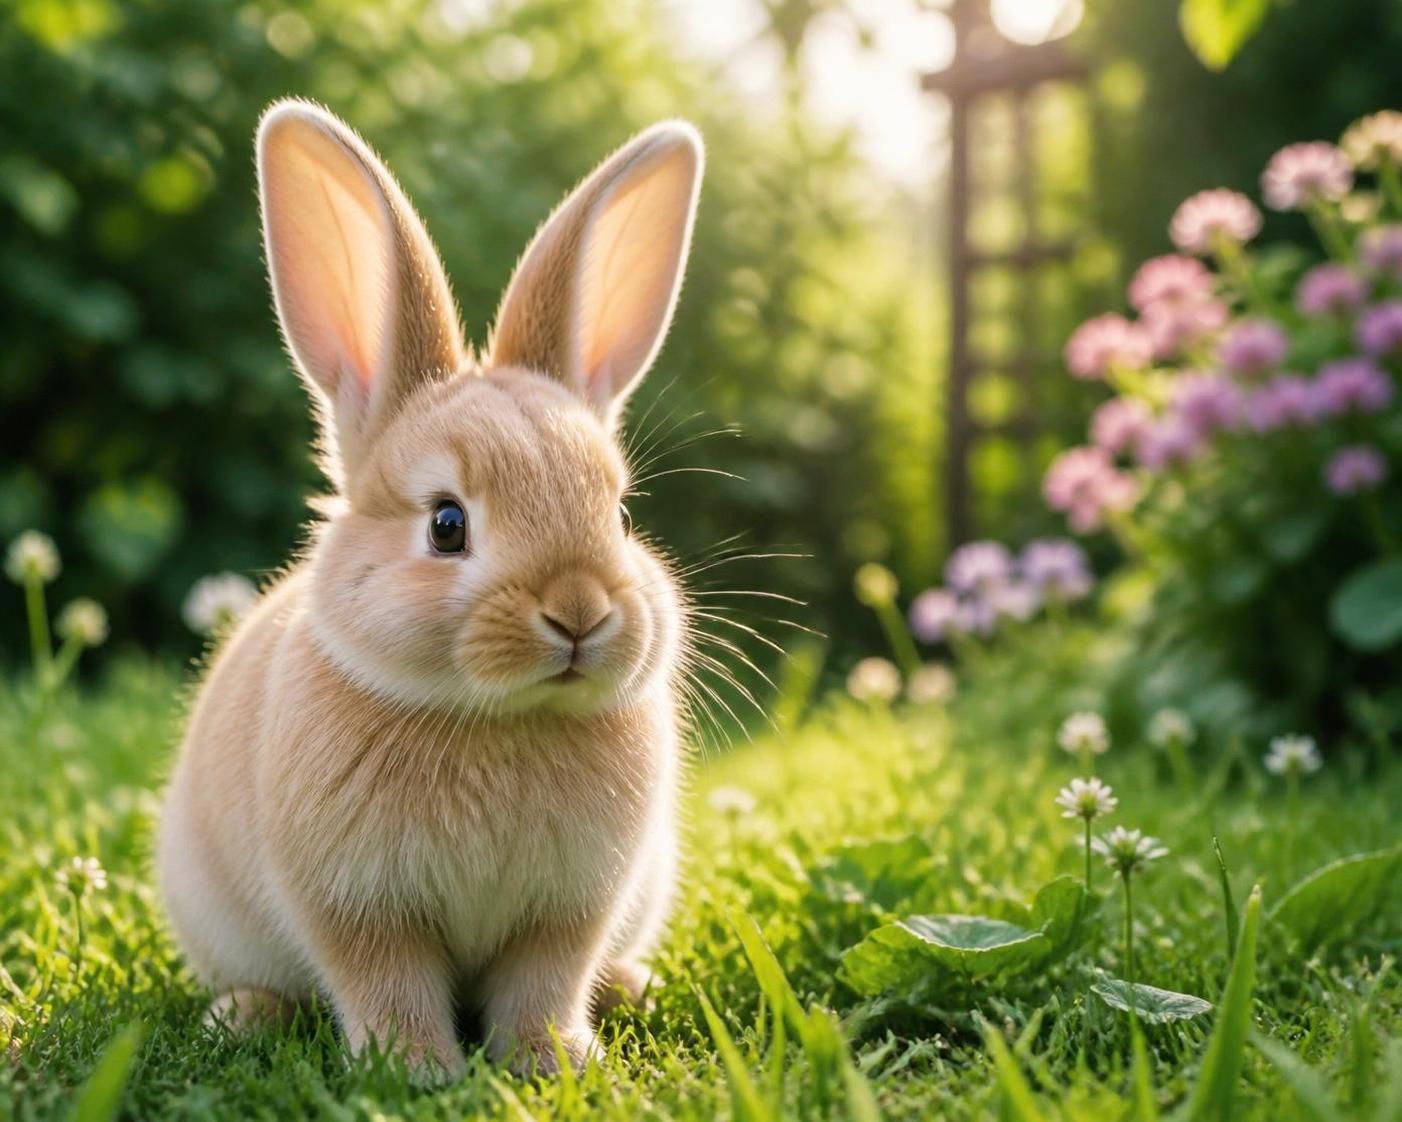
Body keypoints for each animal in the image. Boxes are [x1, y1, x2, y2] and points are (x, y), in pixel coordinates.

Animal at [157, 98, 703, 1079]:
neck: (499, 720)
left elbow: (543, 986)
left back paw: (632, 988)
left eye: (620, 514)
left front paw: (554, 1065)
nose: (580, 611)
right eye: (447, 525)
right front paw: (416, 1071)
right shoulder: (360, 910)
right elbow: (389, 987)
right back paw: (242, 1016)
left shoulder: (567, 913)